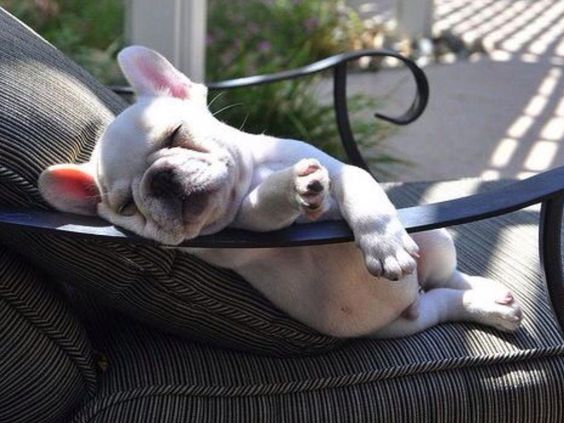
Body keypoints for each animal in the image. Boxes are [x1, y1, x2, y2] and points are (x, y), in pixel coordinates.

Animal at [39, 46, 524, 338]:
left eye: (175, 134)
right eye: (126, 206)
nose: (159, 179)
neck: (252, 175)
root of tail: (412, 299)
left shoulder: (339, 168)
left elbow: (359, 189)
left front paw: (383, 243)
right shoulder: (238, 238)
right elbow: (260, 210)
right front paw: (294, 188)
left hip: (434, 238)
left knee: (446, 275)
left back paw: (486, 293)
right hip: (399, 324)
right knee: (441, 302)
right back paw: (487, 305)